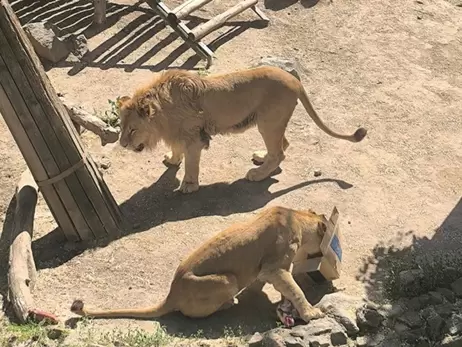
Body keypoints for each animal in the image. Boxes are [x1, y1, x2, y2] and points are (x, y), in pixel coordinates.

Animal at [116, 66, 368, 194]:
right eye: (121, 127)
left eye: (132, 130)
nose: (122, 144)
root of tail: (296, 81)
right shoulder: (179, 134)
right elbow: (177, 151)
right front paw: (171, 159)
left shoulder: (195, 138)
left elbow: (191, 164)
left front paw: (189, 185)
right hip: (272, 122)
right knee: (283, 145)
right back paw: (261, 158)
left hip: (268, 122)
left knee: (280, 152)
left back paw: (257, 175)